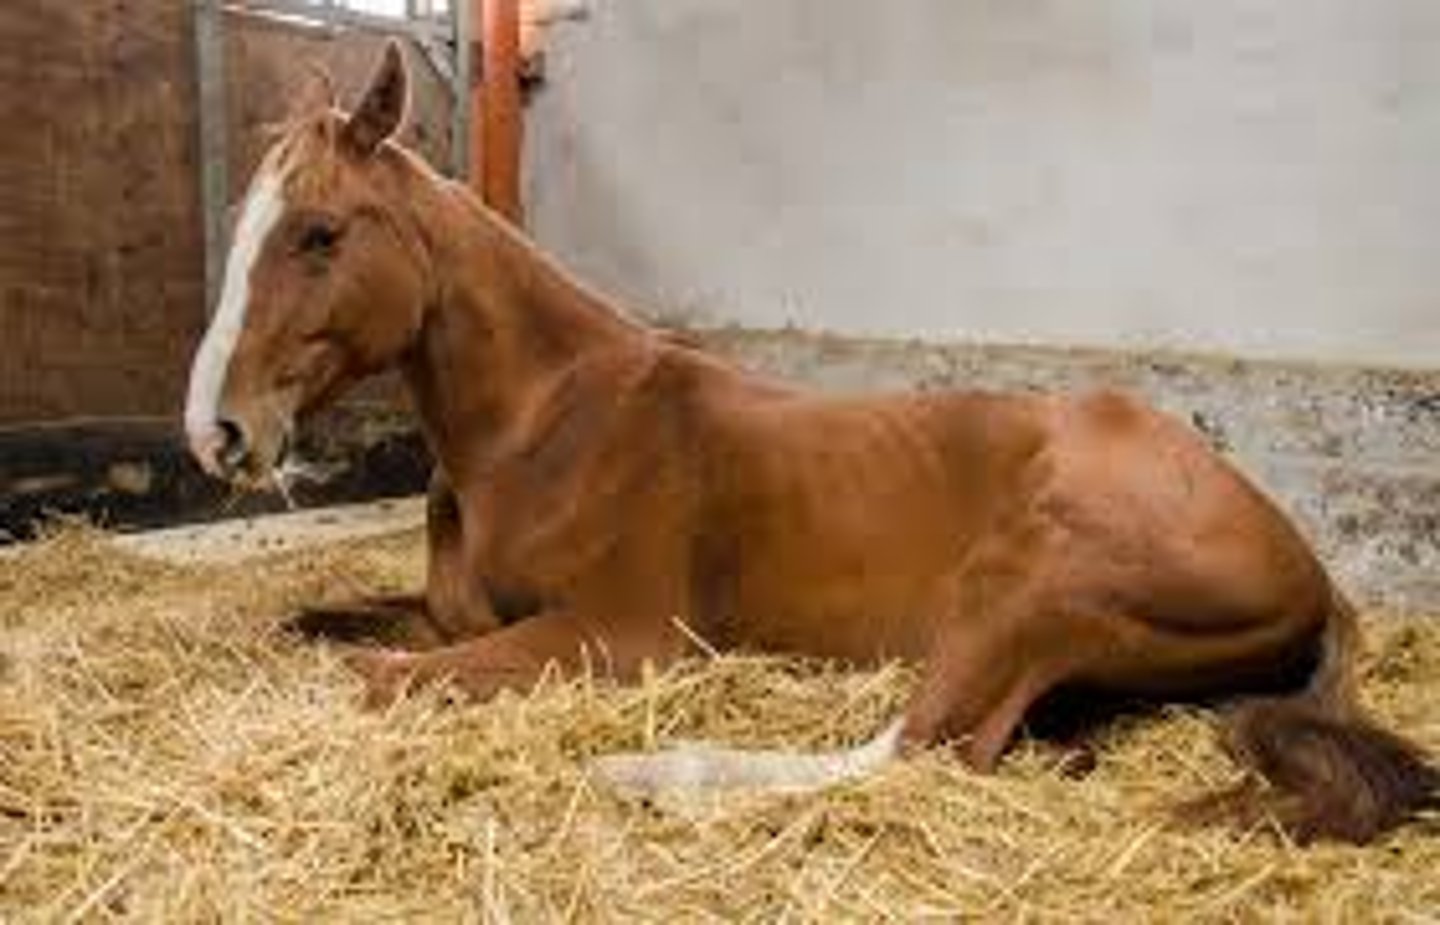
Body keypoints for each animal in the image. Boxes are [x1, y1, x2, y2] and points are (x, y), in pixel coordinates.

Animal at [182, 41, 1436, 844]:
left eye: (320, 232)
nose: (217, 431)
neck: (547, 424)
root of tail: (1307, 566)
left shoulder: (621, 636)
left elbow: (379, 681)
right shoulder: (458, 615)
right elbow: (325, 626)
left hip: (1034, 583)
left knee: (924, 745)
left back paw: (646, 771)